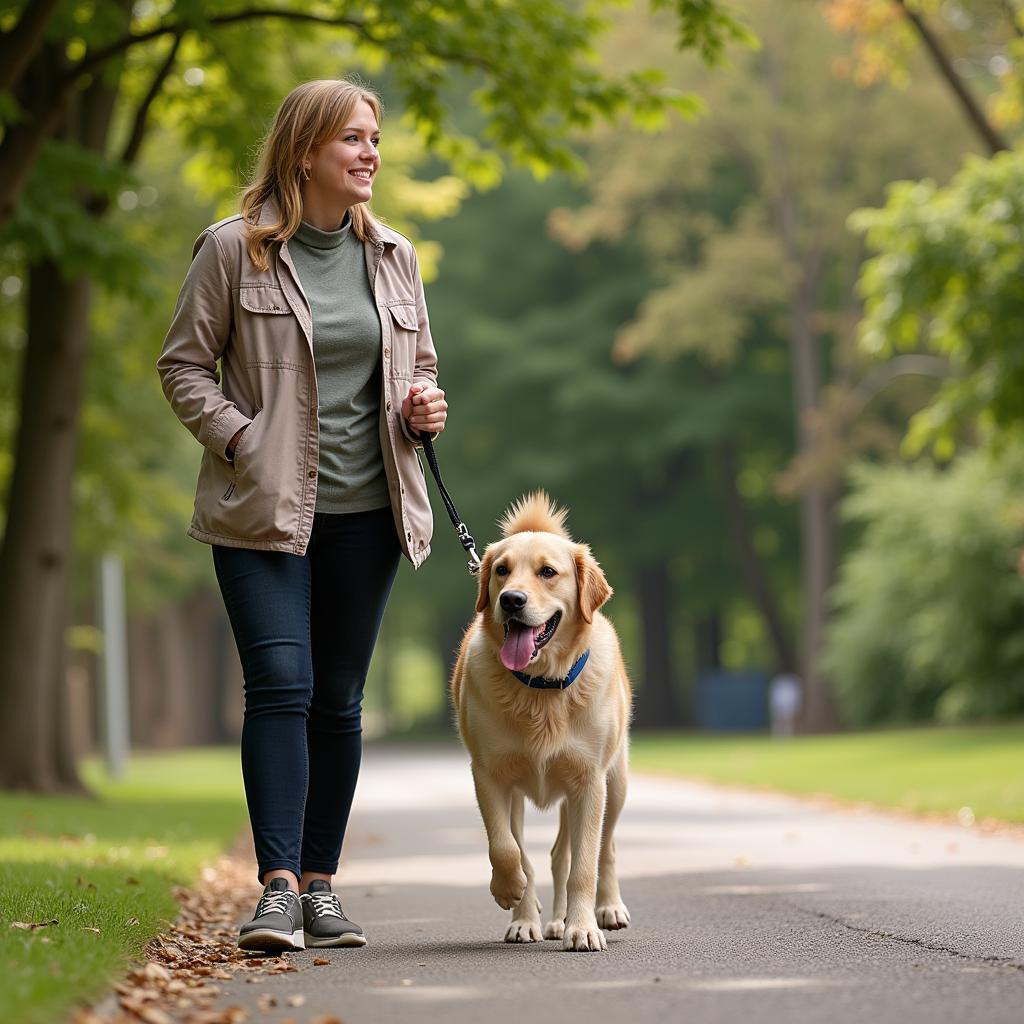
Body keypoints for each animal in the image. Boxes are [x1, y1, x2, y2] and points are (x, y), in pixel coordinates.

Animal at [450, 491, 630, 946]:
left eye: (548, 572)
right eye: (501, 570)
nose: (511, 600)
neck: (541, 688)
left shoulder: (589, 781)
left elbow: (585, 864)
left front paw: (583, 929)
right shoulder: (490, 774)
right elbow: (507, 847)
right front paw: (511, 894)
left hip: (615, 782)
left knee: (604, 848)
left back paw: (606, 909)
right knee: (548, 854)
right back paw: (538, 920)